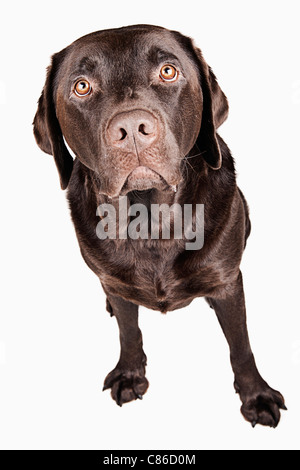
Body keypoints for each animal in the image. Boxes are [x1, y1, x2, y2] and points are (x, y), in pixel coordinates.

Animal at [33, 23, 286, 426]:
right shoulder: (115, 282)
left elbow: (241, 344)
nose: (132, 127)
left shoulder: (227, 281)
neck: (151, 223)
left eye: (168, 71)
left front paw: (256, 396)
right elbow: (128, 332)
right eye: (82, 86)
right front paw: (129, 374)